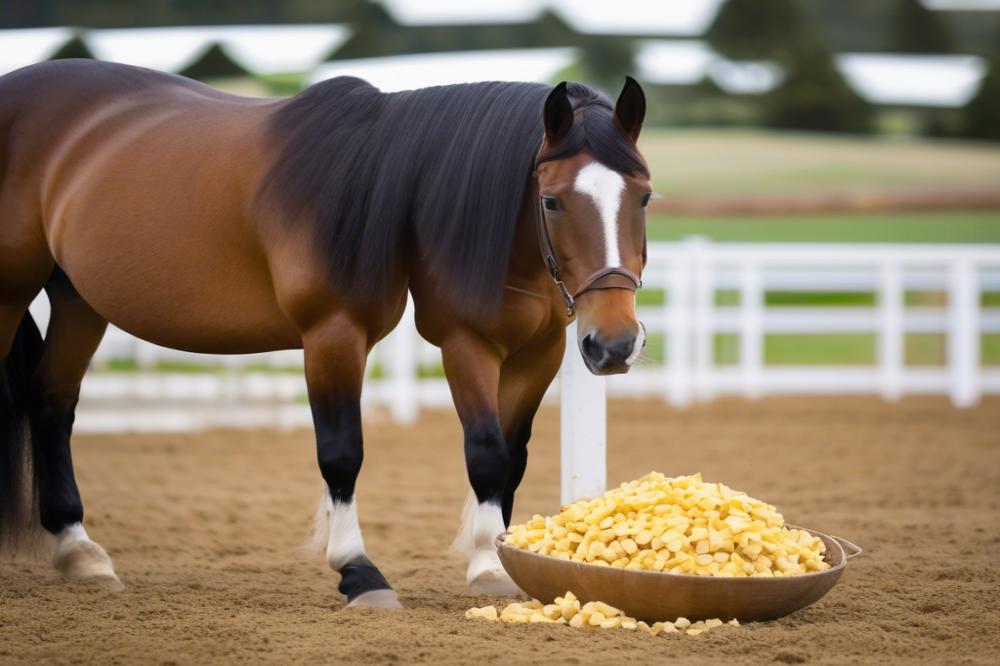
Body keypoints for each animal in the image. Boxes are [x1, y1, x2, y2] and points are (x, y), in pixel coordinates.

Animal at [0, 59, 652, 604]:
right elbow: (364, 451)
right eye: (552, 200)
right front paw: (362, 570)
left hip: (78, 299)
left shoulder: (537, 353)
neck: (388, 186)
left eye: (644, 196)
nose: (615, 344)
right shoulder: (361, 336)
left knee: (52, 404)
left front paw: (494, 559)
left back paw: (81, 553)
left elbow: (509, 459)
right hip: (10, 291)